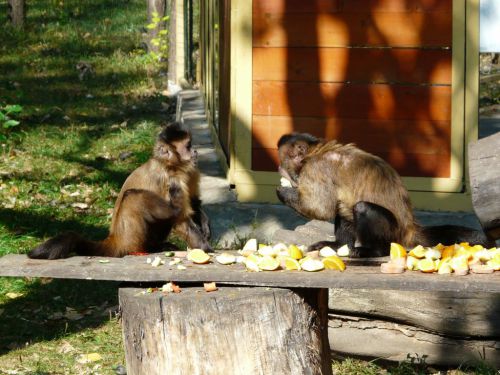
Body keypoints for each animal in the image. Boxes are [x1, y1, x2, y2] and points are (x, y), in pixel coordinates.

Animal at [29, 122, 210, 260]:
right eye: (188, 146)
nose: (195, 151)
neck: (173, 166)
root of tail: (116, 237)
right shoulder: (172, 179)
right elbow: (181, 219)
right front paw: (204, 248)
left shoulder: (190, 171)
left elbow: (194, 201)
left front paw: (206, 228)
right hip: (131, 236)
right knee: (133, 197)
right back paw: (155, 242)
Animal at [276, 132, 494, 258]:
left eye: (283, 160)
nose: (279, 167)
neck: (316, 152)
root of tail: (409, 228)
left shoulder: (316, 168)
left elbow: (321, 209)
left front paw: (283, 190)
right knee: (344, 207)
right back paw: (339, 245)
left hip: (393, 232)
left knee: (361, 207)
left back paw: (373, 251)